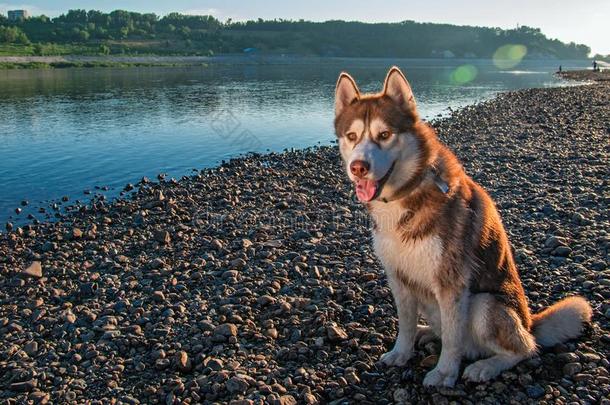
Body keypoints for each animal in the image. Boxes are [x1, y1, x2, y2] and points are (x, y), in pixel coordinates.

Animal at [332, 68, 588, 386]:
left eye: (384, 135)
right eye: (352, 136)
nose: (358, 167)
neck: (405, 197)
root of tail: (530, 323)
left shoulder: (451, 282)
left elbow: (453, 339)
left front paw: (444, 373)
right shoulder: (398, 276)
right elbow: (405, 323)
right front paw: (401, 352)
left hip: (484, 306)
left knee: (524, 349)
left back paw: (486, 366)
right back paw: (426, 333)